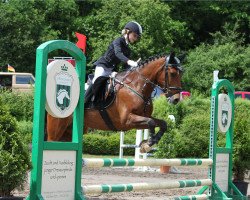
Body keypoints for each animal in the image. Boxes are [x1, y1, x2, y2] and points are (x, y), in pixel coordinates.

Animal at [47, 52, 183, 152]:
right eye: (172, 73)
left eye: (181, 74)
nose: (176, 99)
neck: (136, 86)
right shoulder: (127, 121)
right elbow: (151, 122)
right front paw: (148, 143)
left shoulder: (141, 118)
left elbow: (162, 123)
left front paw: (149, 142)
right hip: (57, 126)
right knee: (51, 140)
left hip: (70, 130)